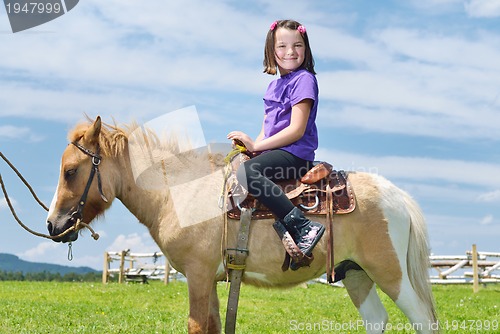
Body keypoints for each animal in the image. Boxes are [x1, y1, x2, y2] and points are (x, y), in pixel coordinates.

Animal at [46, 117, 438, 334]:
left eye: (71, 171)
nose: (52, 225)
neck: (180, 192)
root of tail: (398, 197)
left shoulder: (198, 275)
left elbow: (196, 326)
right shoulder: (211, 278)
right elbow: (214, 326)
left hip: (389, 272)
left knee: (422, 320)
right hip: (355, 273)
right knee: (376, 320)